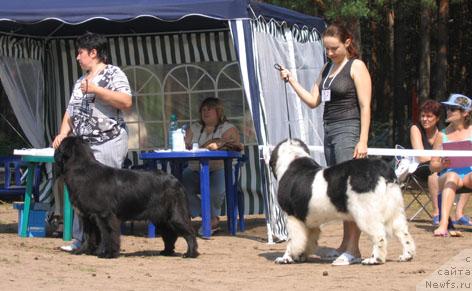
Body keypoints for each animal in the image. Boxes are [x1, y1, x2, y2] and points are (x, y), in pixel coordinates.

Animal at [54, 137, 198, 260]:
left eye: (59, 146)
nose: (54, 149)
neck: (82, 170)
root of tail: (176, 180)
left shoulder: (104, 215)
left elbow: (109, 235)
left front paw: (108, 254)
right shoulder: (87, 216)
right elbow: (89, 236)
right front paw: (83, 251)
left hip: (175, 214)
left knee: (189, 232)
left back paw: (190, 253)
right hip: (160, 218)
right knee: (169, 234)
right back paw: (166, 252)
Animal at [270, 140, 416, 266]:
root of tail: (381, 168)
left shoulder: (292, 216)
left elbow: (293, 240)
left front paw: (285, 258)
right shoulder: (309, 222)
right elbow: (308, 240)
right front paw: (301, 256)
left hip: (365, 214)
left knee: (379, 235)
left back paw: (375, 259)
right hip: (394, 209)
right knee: (402, 231)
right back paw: (407, 255)